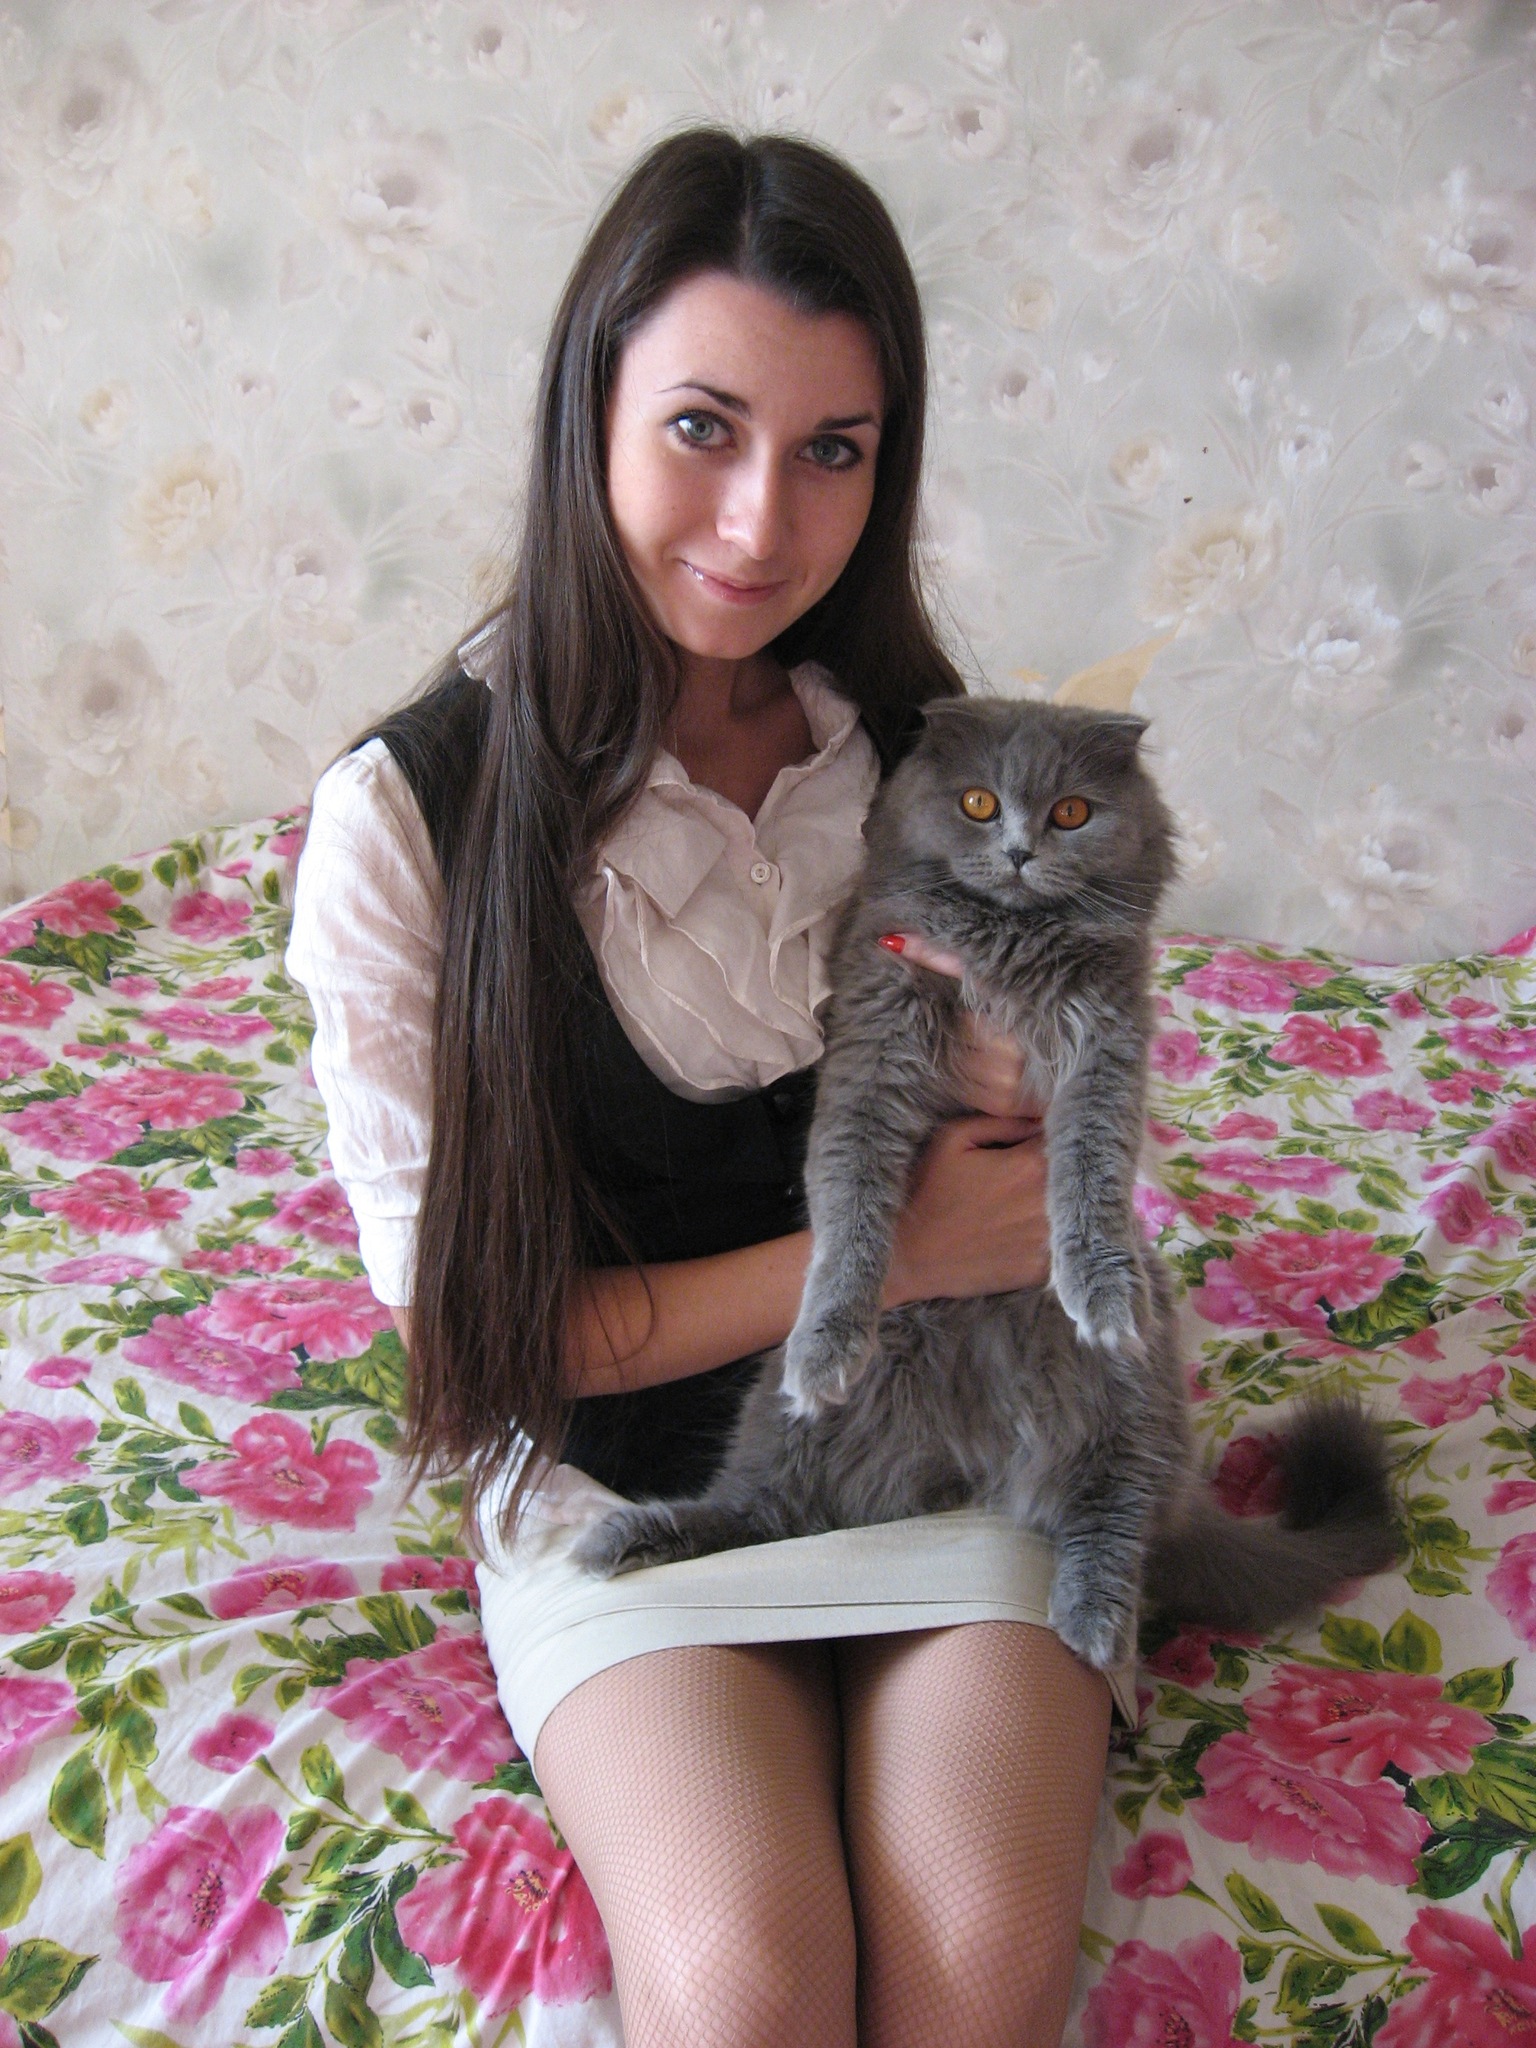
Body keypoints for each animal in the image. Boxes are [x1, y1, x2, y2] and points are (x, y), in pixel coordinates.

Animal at [574, 698, 1401, 1671]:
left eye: (1073, 813)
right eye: (977, 802)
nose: (1018, 849)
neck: (1005, 949)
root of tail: (964, 1449)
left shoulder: (1105, 1049)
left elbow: (1090, 1174)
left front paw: (1098, 1288)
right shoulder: (874, 1040)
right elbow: (850, 1203)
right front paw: (829, 1346)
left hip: (1127, 1393)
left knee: (1115, 1509)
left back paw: (1092, 1622)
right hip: (780, 1418)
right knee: (768, 1509)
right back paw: (632, 1536)